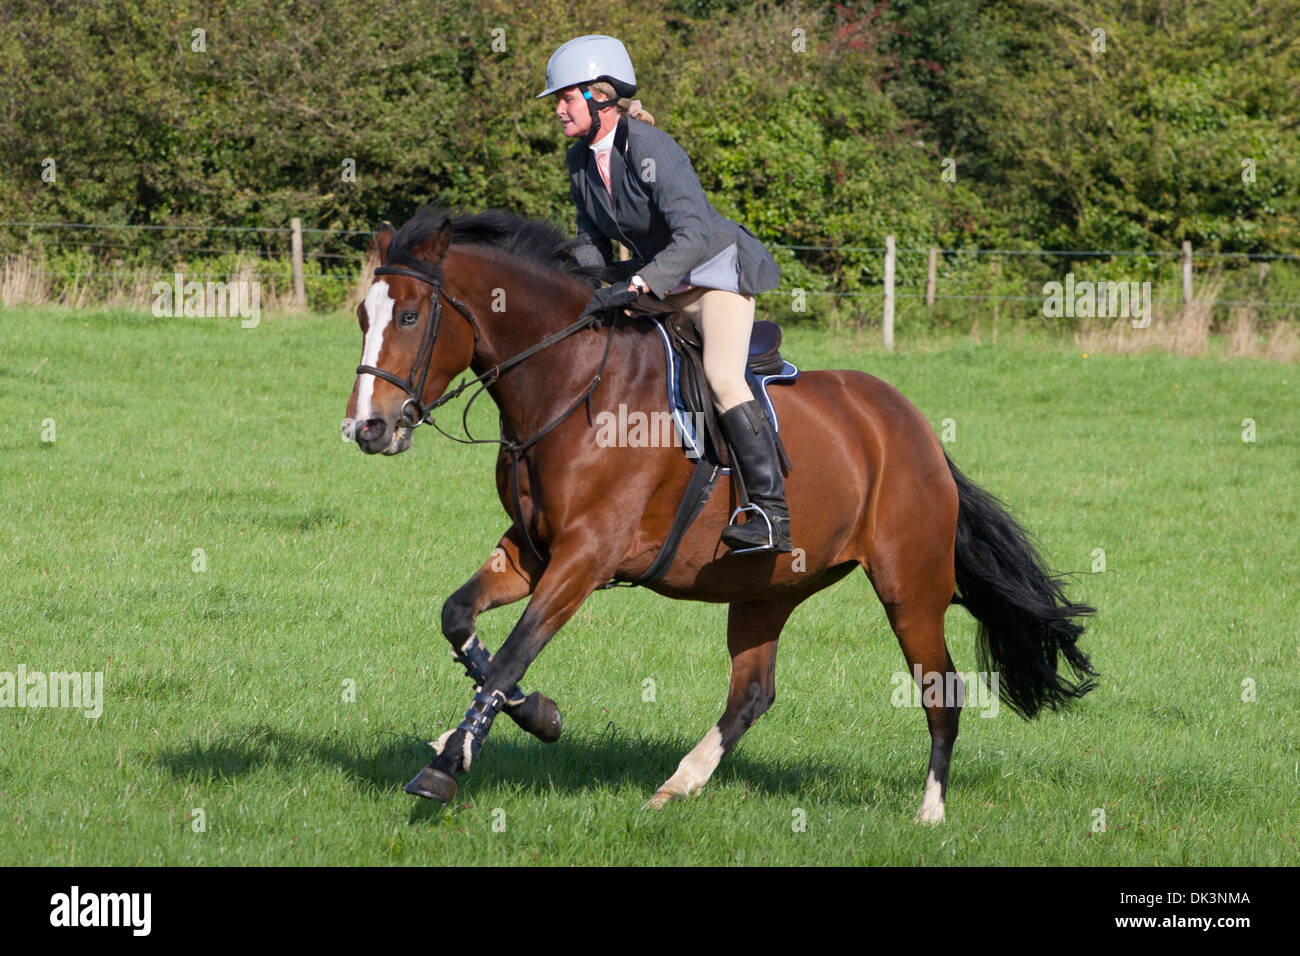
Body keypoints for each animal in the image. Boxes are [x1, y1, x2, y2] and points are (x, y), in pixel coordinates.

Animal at [343, 208, 1097, 822]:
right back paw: (678, 785)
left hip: (910, 588)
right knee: (752, 694)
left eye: (409, 317)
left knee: (941, 691)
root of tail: (915, 430)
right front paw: (527, 719)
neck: (571, 382)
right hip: (767, 586)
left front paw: (446, 767)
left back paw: (930, 812)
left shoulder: (585, 556)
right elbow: (461, 622)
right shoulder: (532, 551)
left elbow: (510, 653)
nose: (368, 429)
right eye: (362, 318)